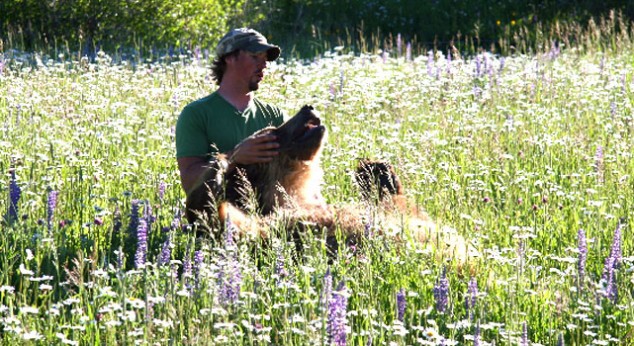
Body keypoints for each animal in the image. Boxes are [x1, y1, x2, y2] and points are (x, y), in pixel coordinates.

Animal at [183, 105, 470, 262]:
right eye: (274, 129)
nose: (307, 107)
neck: (293, 192)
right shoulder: (277, 228)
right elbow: (225, 224)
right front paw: (217, 168)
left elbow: (401, 207)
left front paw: (374, 170)